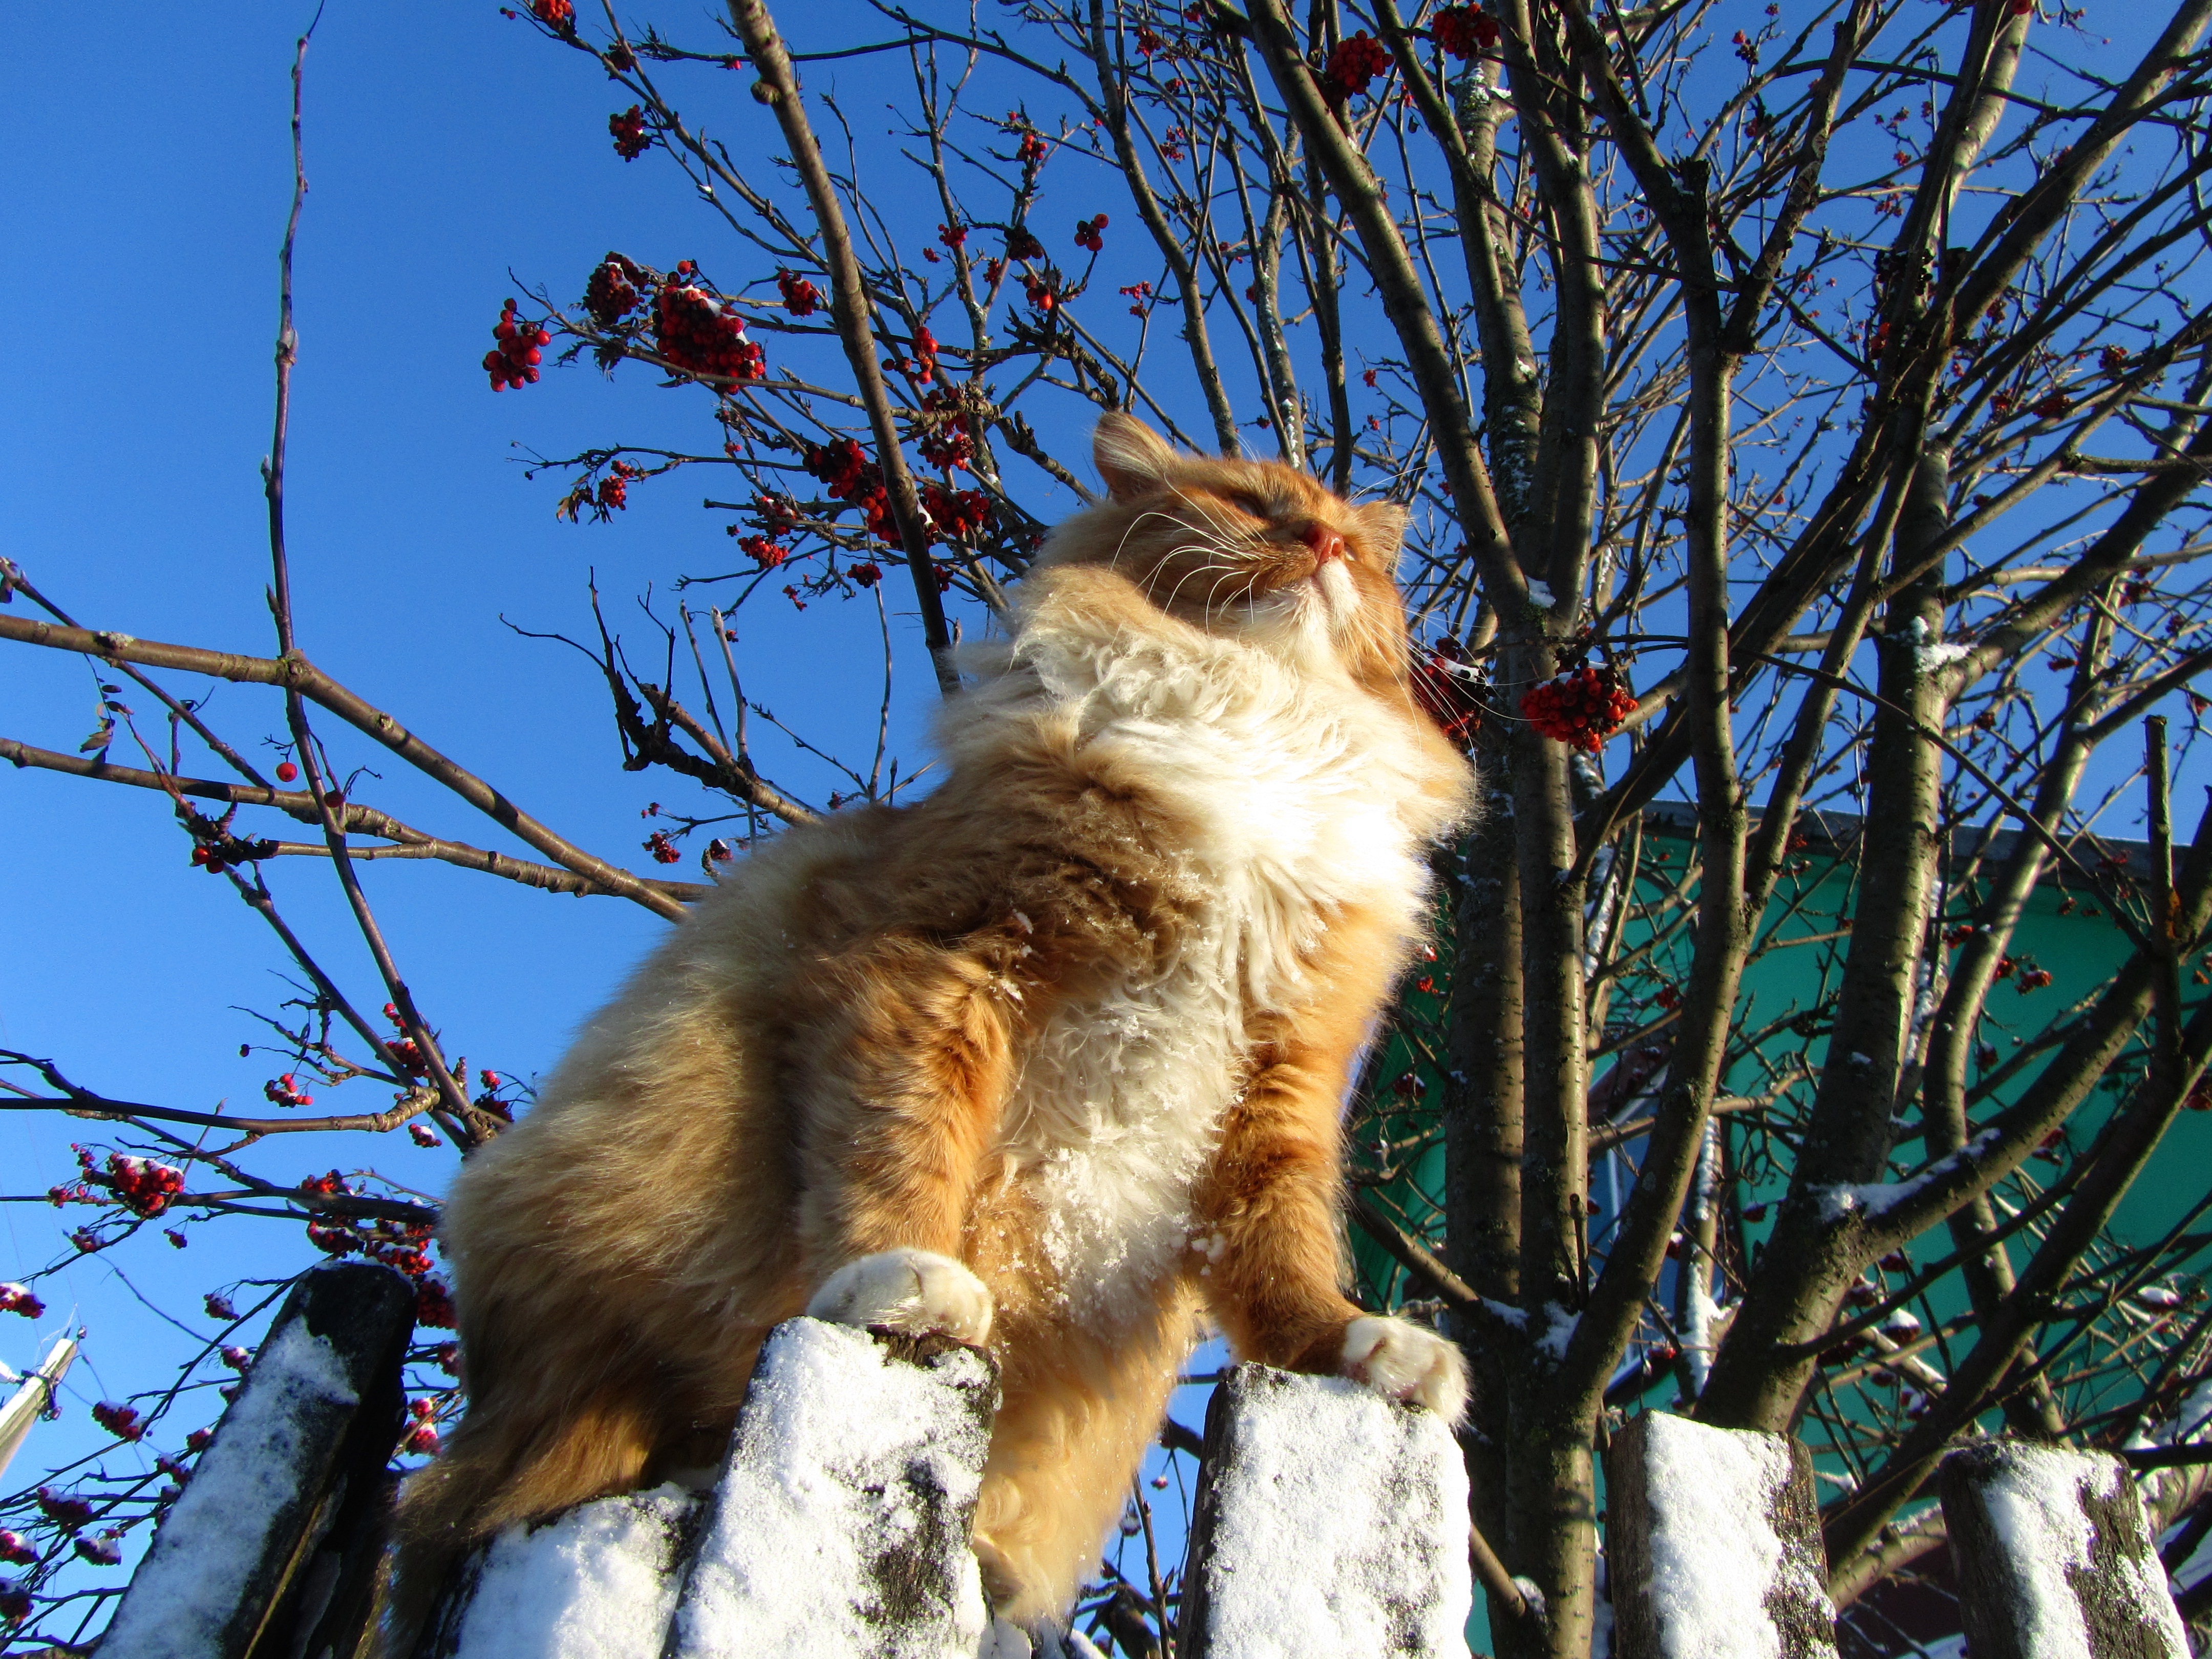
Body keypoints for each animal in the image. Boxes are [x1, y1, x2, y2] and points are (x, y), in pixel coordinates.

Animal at [391, 416, 1477, 1654]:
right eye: (1255, 504)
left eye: (1357, 547)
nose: (1323, 544)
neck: (1259, 732)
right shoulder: (945, 962)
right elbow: (903, 1152)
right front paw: (904, 1274)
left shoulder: (1280, 1087)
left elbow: (1287, 1267)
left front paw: (1358, 1348)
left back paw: (992, 1585)